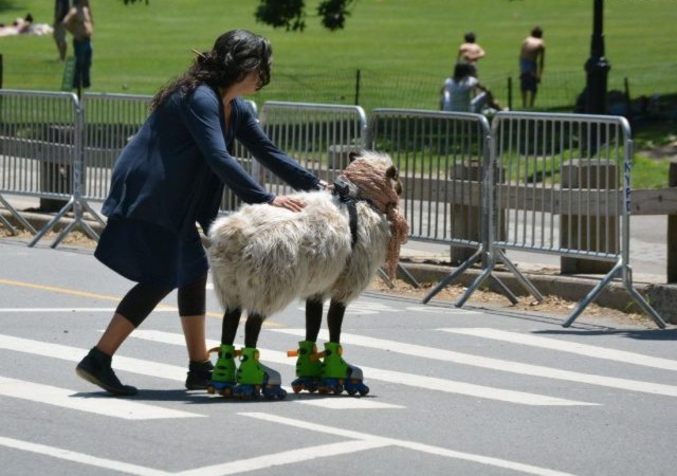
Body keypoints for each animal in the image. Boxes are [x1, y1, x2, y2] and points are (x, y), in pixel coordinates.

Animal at [206, 150, 406, 398]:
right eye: (396, 179)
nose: (402, 190)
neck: (361, 199)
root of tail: (236, 234)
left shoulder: (318, 284)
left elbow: (313, 323)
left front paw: (311, 376)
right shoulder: (347, 282)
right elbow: (334, 323)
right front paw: (340, 376)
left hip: (230, 284)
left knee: (229, 323)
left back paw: (222, 380)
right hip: (267, 284)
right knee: (251, 325)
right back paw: (254, 382)